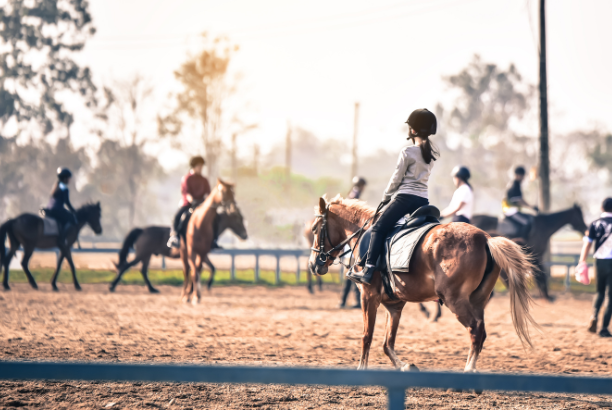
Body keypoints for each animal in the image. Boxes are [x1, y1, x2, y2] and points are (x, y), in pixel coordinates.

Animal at [110, 208, 246, 292]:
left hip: (146, 255)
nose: (245, 235)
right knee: (127, 266)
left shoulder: (202, 255)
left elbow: (210, 268)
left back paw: (152, 289)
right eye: (238, 220)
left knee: (143, 271)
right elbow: (206, 269)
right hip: (142, 254)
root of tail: (142, 230)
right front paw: (201, 286)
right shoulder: (200, 255)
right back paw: (112, 286)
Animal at [308, 195, 536, 372]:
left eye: (315, 229)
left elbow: (367, 336)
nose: (313, 264)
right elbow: (387, 343)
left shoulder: (368, 296)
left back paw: (469, 371)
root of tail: (486, 238)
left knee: (475, 331)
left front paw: (361, 369)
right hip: (477, 301)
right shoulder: (394, 305)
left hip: (456, 301)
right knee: (481, 333)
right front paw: (405, 366)